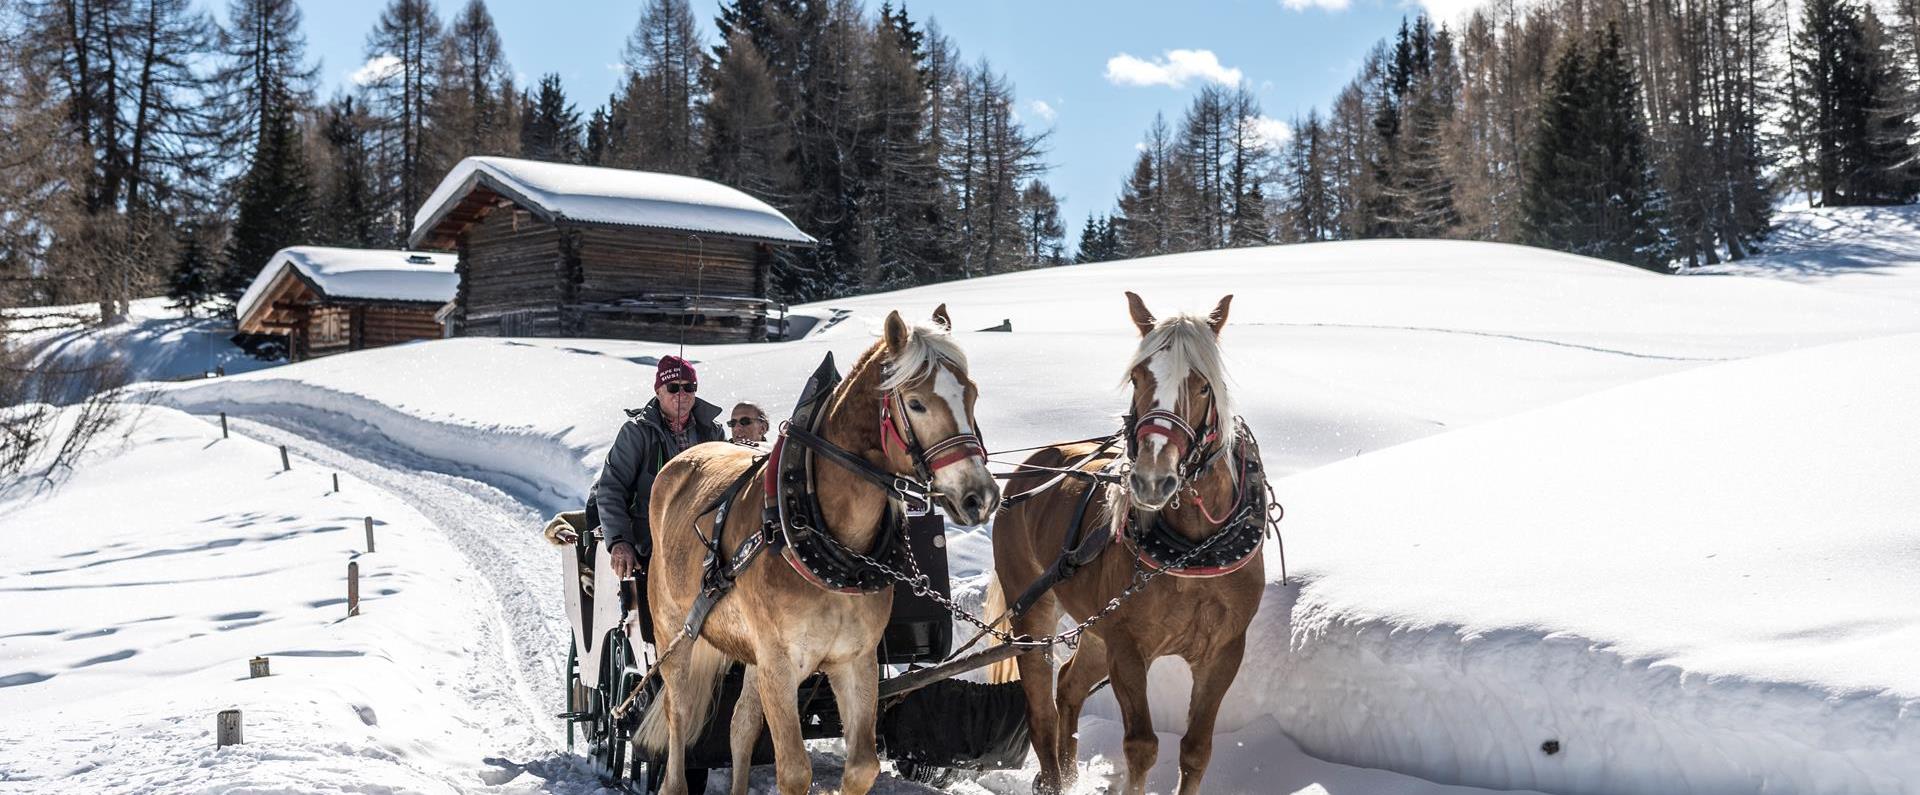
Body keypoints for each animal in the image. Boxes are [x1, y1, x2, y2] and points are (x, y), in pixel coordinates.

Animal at [645, 305, 1006, 795]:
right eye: (916, 403)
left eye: (971, 394)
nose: (980, 497)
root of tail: (679, 462)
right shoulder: (780, 664)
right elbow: (794, 770)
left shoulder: (854, 659)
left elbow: (863, 766)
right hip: (675, 633)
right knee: (678, 716)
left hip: (752, 655)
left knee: (740, 724)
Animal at [990, 293, 1274, 795]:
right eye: (1139, 376)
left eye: (1203, 385)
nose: (1152, 480)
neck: (1192, 552)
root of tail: (1028, 472)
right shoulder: (1127, 646)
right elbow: (1141, 747)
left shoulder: (1223, 651)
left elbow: (1196, 751)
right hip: (1033, 615)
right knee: (1041, 710)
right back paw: (1054, 779)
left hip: (1094, 627)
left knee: (1069, 686)